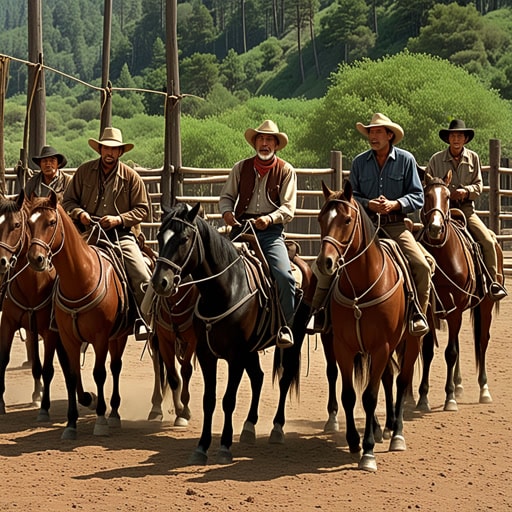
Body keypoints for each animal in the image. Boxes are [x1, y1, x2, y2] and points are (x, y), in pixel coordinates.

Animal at [0, 192, 76, 420]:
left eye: (17, 225)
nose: (1, 261)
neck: (33, 285)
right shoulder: (7, 323)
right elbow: (4, 360)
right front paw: (1, 404)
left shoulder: (50, 331)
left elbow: (48, 368)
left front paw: (44, 408)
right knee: (34, 360)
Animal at [26, 190, 132, 438]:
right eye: (29, 223)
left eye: (51, 222)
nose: (36, 259)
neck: (81, 279)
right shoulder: (68, 339)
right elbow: (72, 375)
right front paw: (71, 423)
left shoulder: (100, 338)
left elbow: (99, 373)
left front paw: (100, 420)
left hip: (119, 336)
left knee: (115, 367)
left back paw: (114, 413)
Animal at [150, 202, 314, 466]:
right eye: (159, 236)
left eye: (184, 239)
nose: (160, 282)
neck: (224, 289)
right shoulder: (207, 354)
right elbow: (209, 400)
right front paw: (201, 447)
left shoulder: (235, 356)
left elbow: (228, 399)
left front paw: (225, 446)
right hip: (251, 350)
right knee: (258, 377)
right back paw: (248, 427)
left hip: (294, 339)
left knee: (285, 377)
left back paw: (277, 428)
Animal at [316, 182, 424, 474]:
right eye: (320, 219)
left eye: (346, 220)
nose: (325, 262)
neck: (362, 287)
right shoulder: (343, 347)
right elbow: (349, 395)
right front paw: (355, 440)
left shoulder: (381, 347)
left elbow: (370, 396)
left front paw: (368, 453)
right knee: (387, 379)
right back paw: (382, 428)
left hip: (411, 343)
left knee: (401, 381)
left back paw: (396, 434)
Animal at [416, 172, 500, 412]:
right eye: (426, 195)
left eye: (446, 196)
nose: (435, 228)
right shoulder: (431, 311)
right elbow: (429, 351)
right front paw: (423, 397)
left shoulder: (454, 312)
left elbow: (450, 352)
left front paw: (450, 398)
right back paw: (459, 383)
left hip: (486, 305)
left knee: (482, 341)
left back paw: (484, 390)